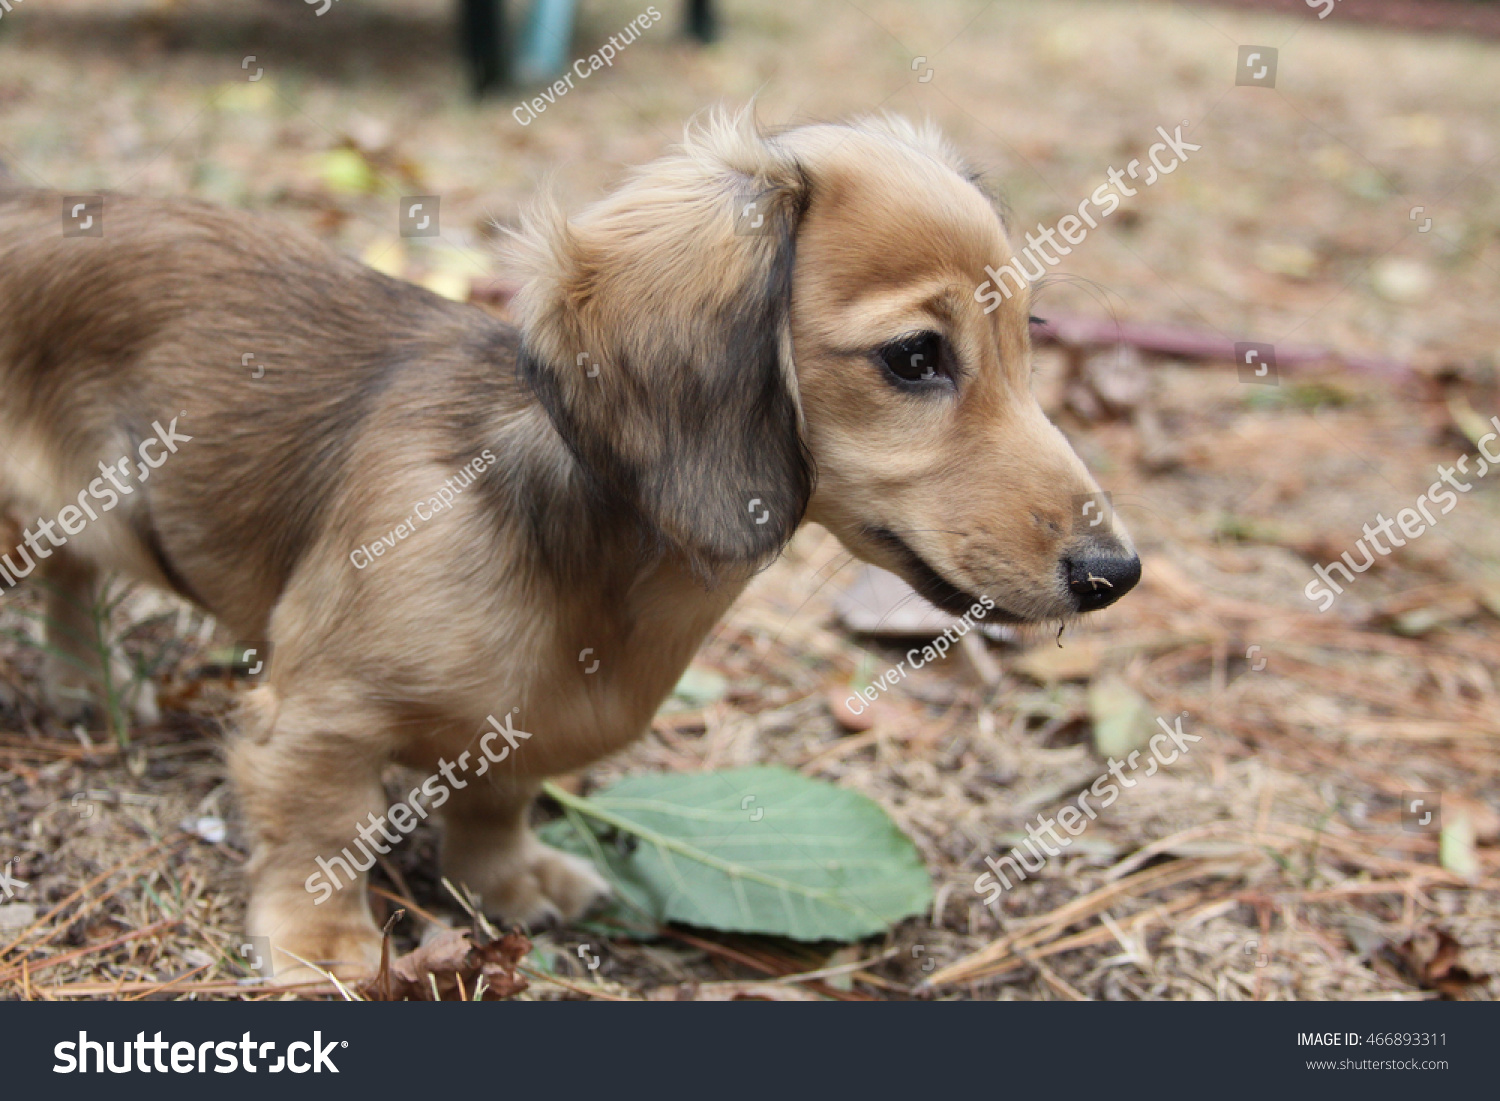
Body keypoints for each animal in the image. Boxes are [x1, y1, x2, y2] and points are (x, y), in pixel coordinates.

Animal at [0, 112, 1134, 978]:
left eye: (1029, 344)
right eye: (914, 357)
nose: (1115, 574)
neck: (611, 565)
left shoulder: (525, 726)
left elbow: (496, 799)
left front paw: (505, 879)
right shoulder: (319, 716)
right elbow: (322, 830)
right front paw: (323, 942)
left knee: (68, 580)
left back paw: (84, 682)